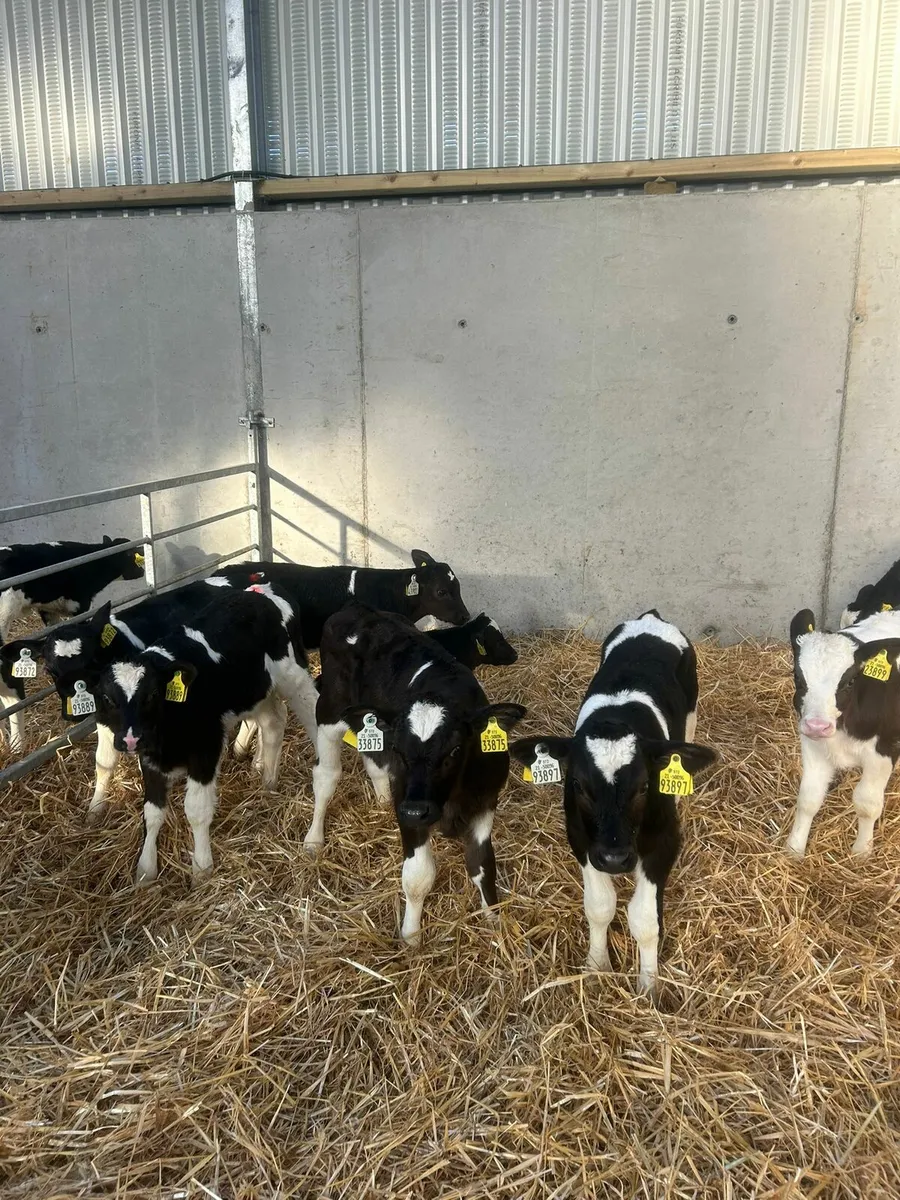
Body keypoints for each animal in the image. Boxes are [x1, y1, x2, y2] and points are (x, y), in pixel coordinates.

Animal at [305, 603, 526, 944]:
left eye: (455, 750)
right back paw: (314, 839)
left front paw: (493, 919)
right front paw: (411, 935)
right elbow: (419, 875)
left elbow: (483, 864)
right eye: (400, 749)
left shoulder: (485, 803)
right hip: (329, 710)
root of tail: (355, 608)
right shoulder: (408, 807)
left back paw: (381, 798)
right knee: (326, 777)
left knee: (372, 759)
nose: (415, 809)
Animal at [510, 611, 717, 995]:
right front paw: (596, 966)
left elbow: (645, 920)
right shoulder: (581, 839)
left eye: (644, 786)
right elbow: (599, 906)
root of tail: (651, 617)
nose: (615, 858)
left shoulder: (663, 841)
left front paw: (648, 986)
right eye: (577, 784)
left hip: (692, 709)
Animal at [786, 608, 900, 858]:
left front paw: (861, 852)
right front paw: (794, 848)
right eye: (797, 677)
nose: (817, 725)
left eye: (849, 682)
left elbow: (867, 804)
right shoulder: (813, 745)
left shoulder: (885, 750)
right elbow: (808, 798)